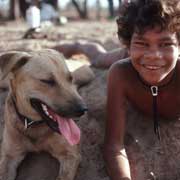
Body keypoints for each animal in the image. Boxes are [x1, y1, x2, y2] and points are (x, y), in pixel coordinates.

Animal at [0, 49, 87, 180]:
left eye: (70, 79)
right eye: (47, 81)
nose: (83, 109)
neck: (34, 124)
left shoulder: (70, 155)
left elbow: (62, 177)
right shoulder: (9, 156)